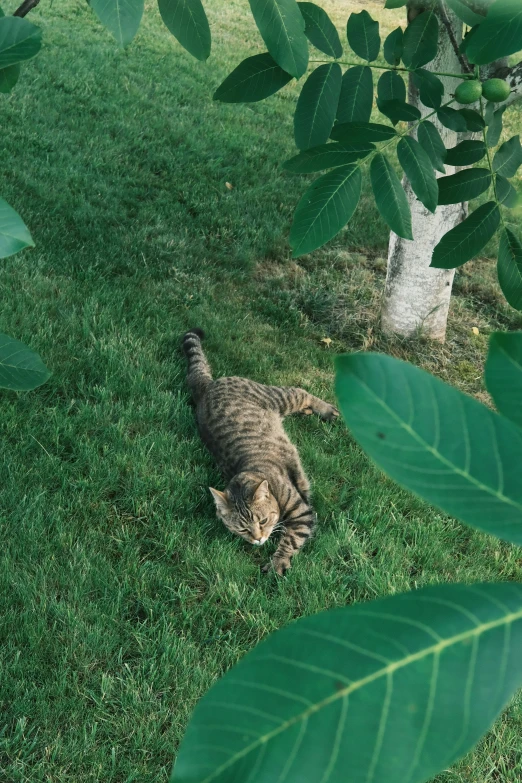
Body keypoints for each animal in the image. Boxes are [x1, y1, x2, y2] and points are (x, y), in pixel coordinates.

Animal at [182, 328, 338, 572]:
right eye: (243, 529)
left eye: (263, 521)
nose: (258, 539)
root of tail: (206, 387)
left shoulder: (302, 513)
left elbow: (290, 539)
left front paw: (277, 562)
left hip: (279, 397)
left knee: (302, 392)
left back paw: (327, 410)